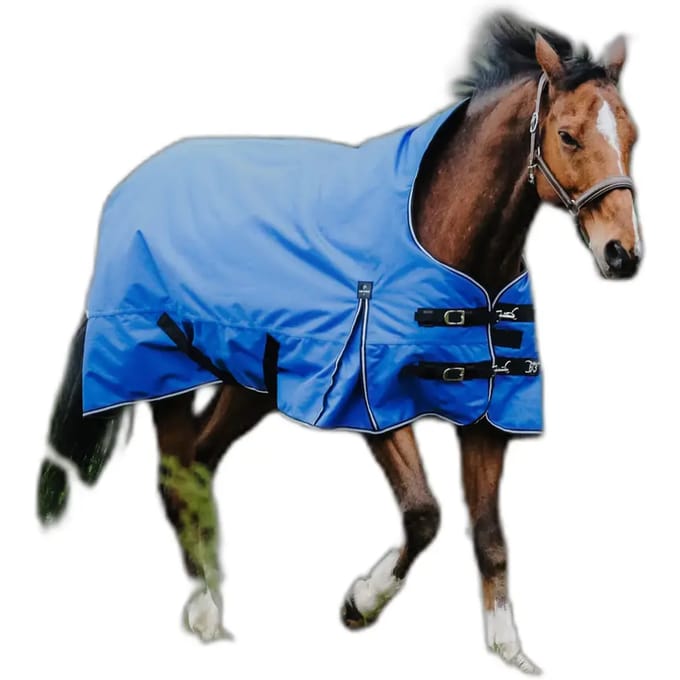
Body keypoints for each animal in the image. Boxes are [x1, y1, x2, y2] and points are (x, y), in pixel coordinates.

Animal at [37, 13, 641, 674]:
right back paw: (205, 611)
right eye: (568, 135)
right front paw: (360, 602)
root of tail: (128, 190)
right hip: (164, 373)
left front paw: (508, 647)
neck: (442, 233)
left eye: (632, 135)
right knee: (178, 477)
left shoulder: (487, 412)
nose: (623, 254)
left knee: (198, 463)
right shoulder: (370, 398)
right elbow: (424, 514)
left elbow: (489, 535)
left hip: (249, 384)